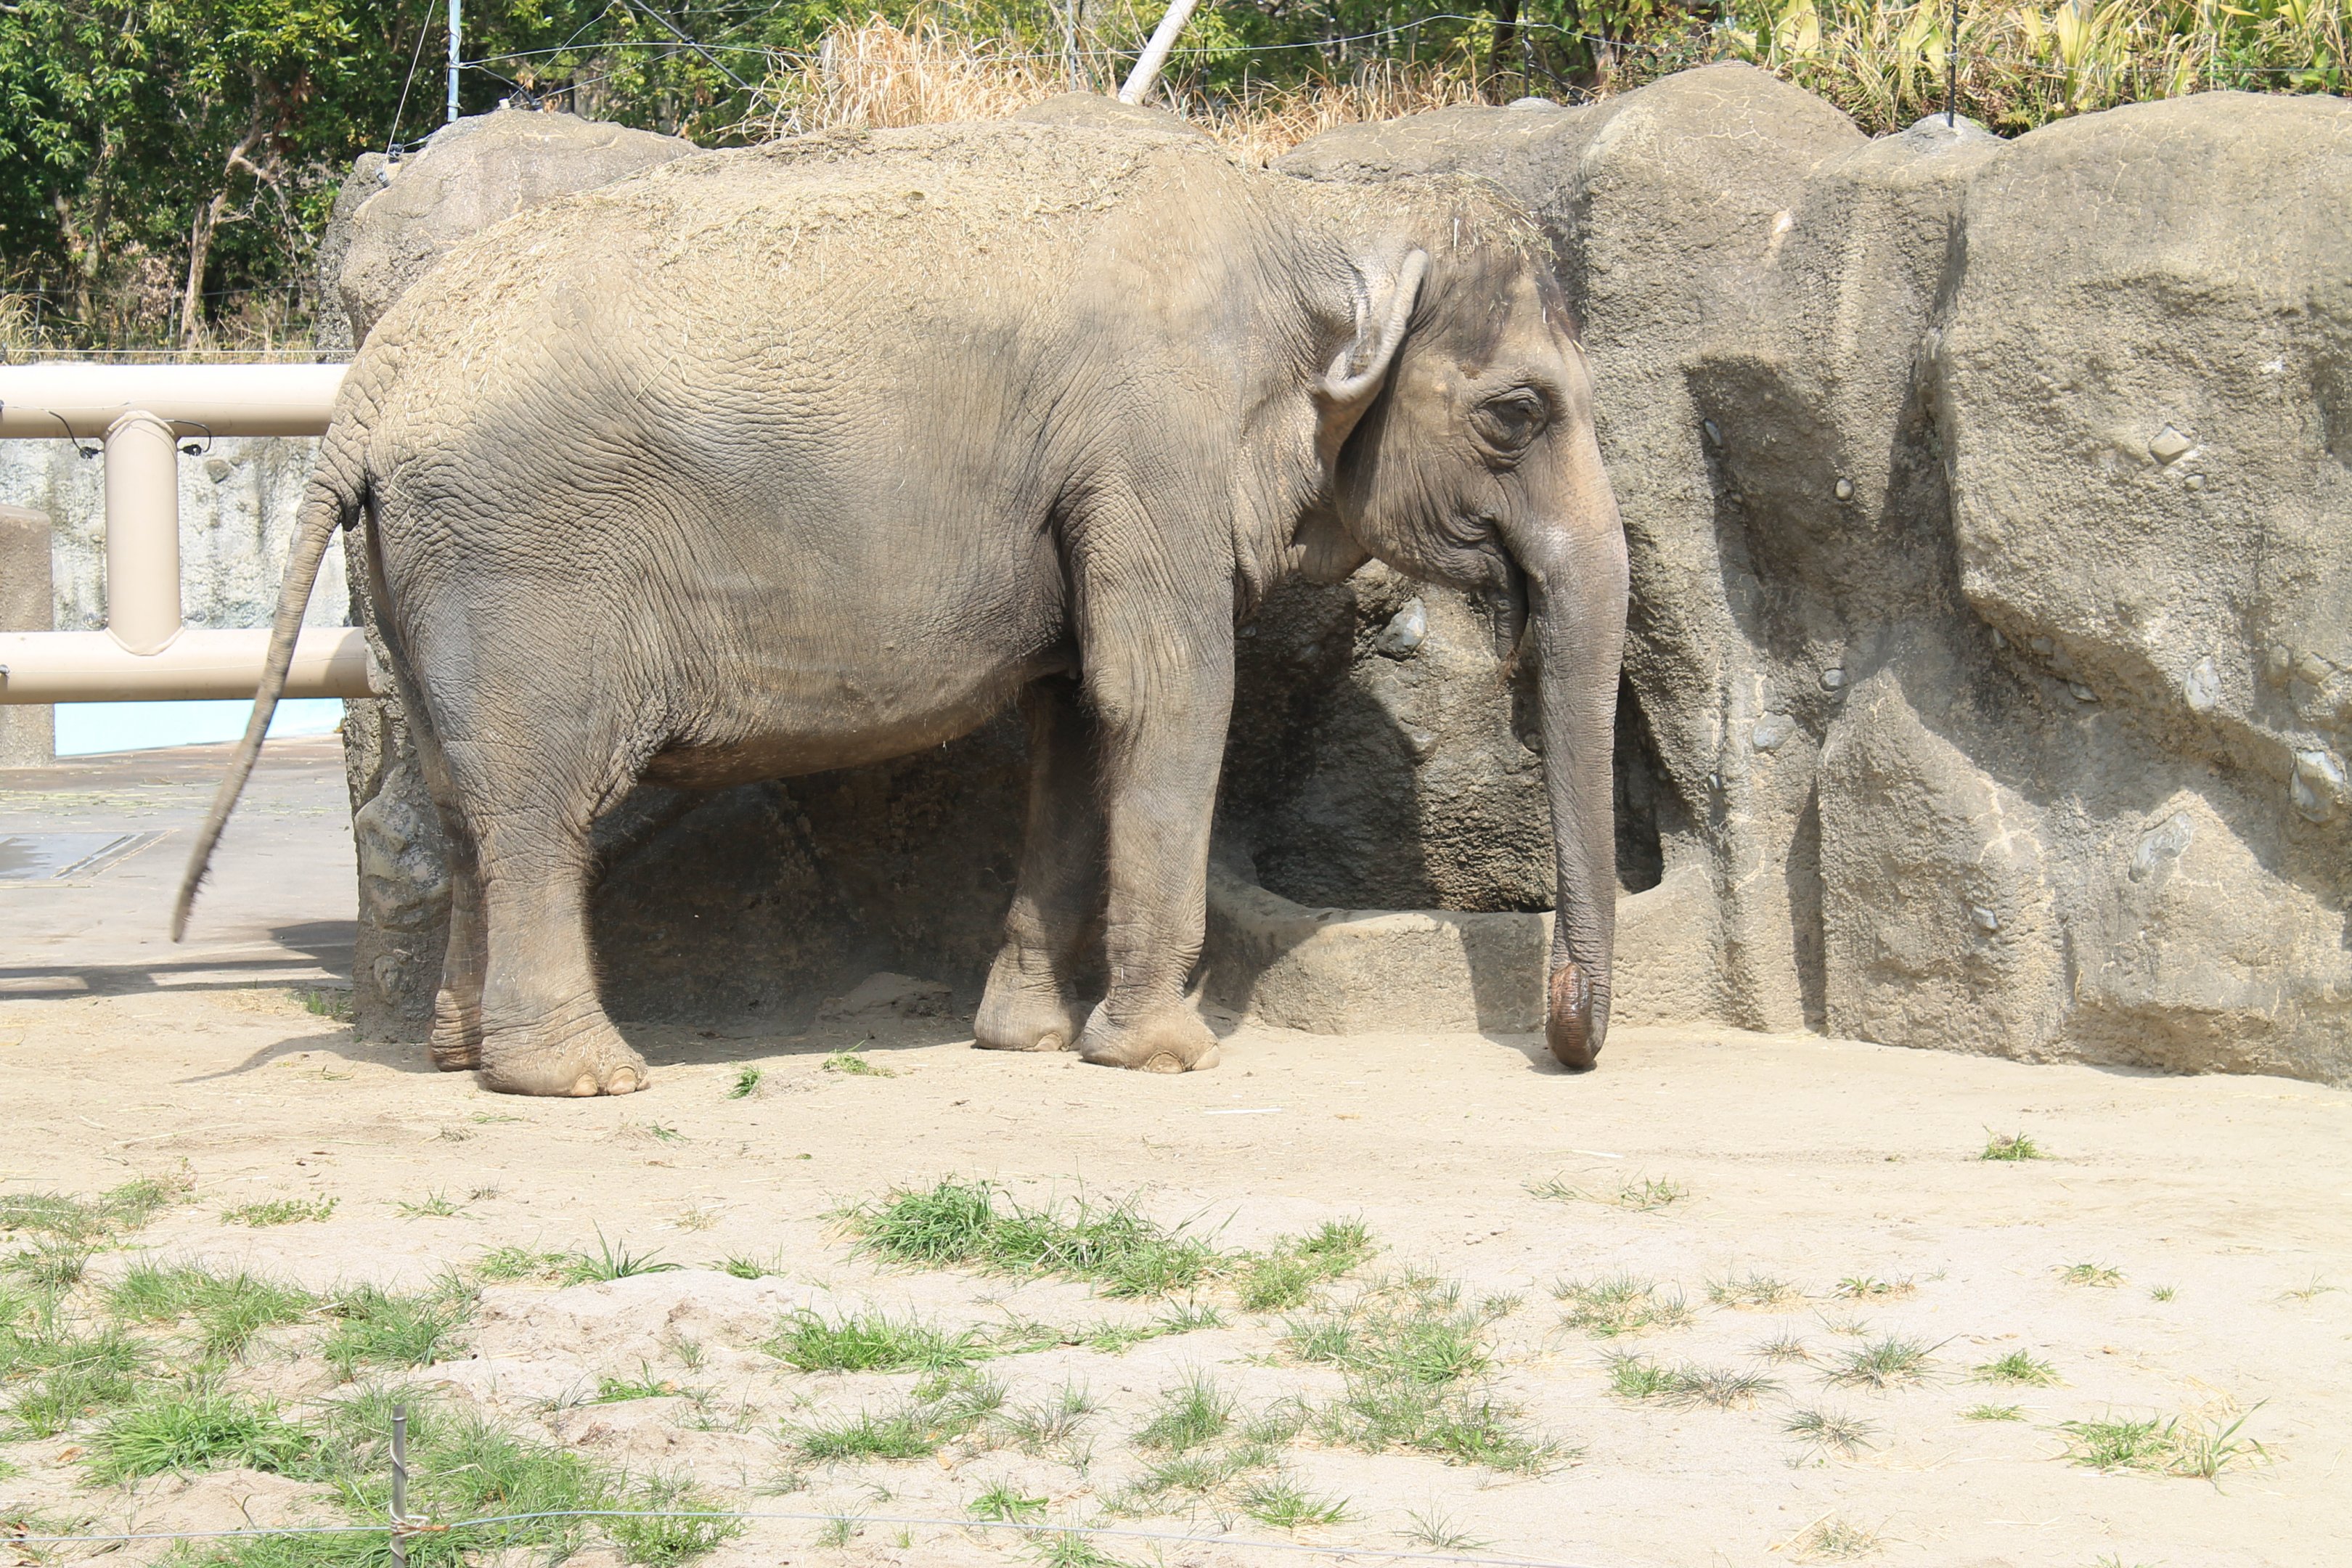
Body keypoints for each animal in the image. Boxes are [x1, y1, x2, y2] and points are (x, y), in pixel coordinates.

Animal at [176, 114, 1628, 1096]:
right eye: (1517, 413)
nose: (1562, 1037)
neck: (1310, 218)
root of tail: (369, 382)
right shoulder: (1149, 440)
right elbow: (1165, 693)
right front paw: (1164, 1058)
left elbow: (1076, 716)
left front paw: (1025, 1042)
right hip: (516, 558)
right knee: (537, 803)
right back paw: (582, 1077)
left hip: (416, 569)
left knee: (456, 790)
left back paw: (460, 1054)